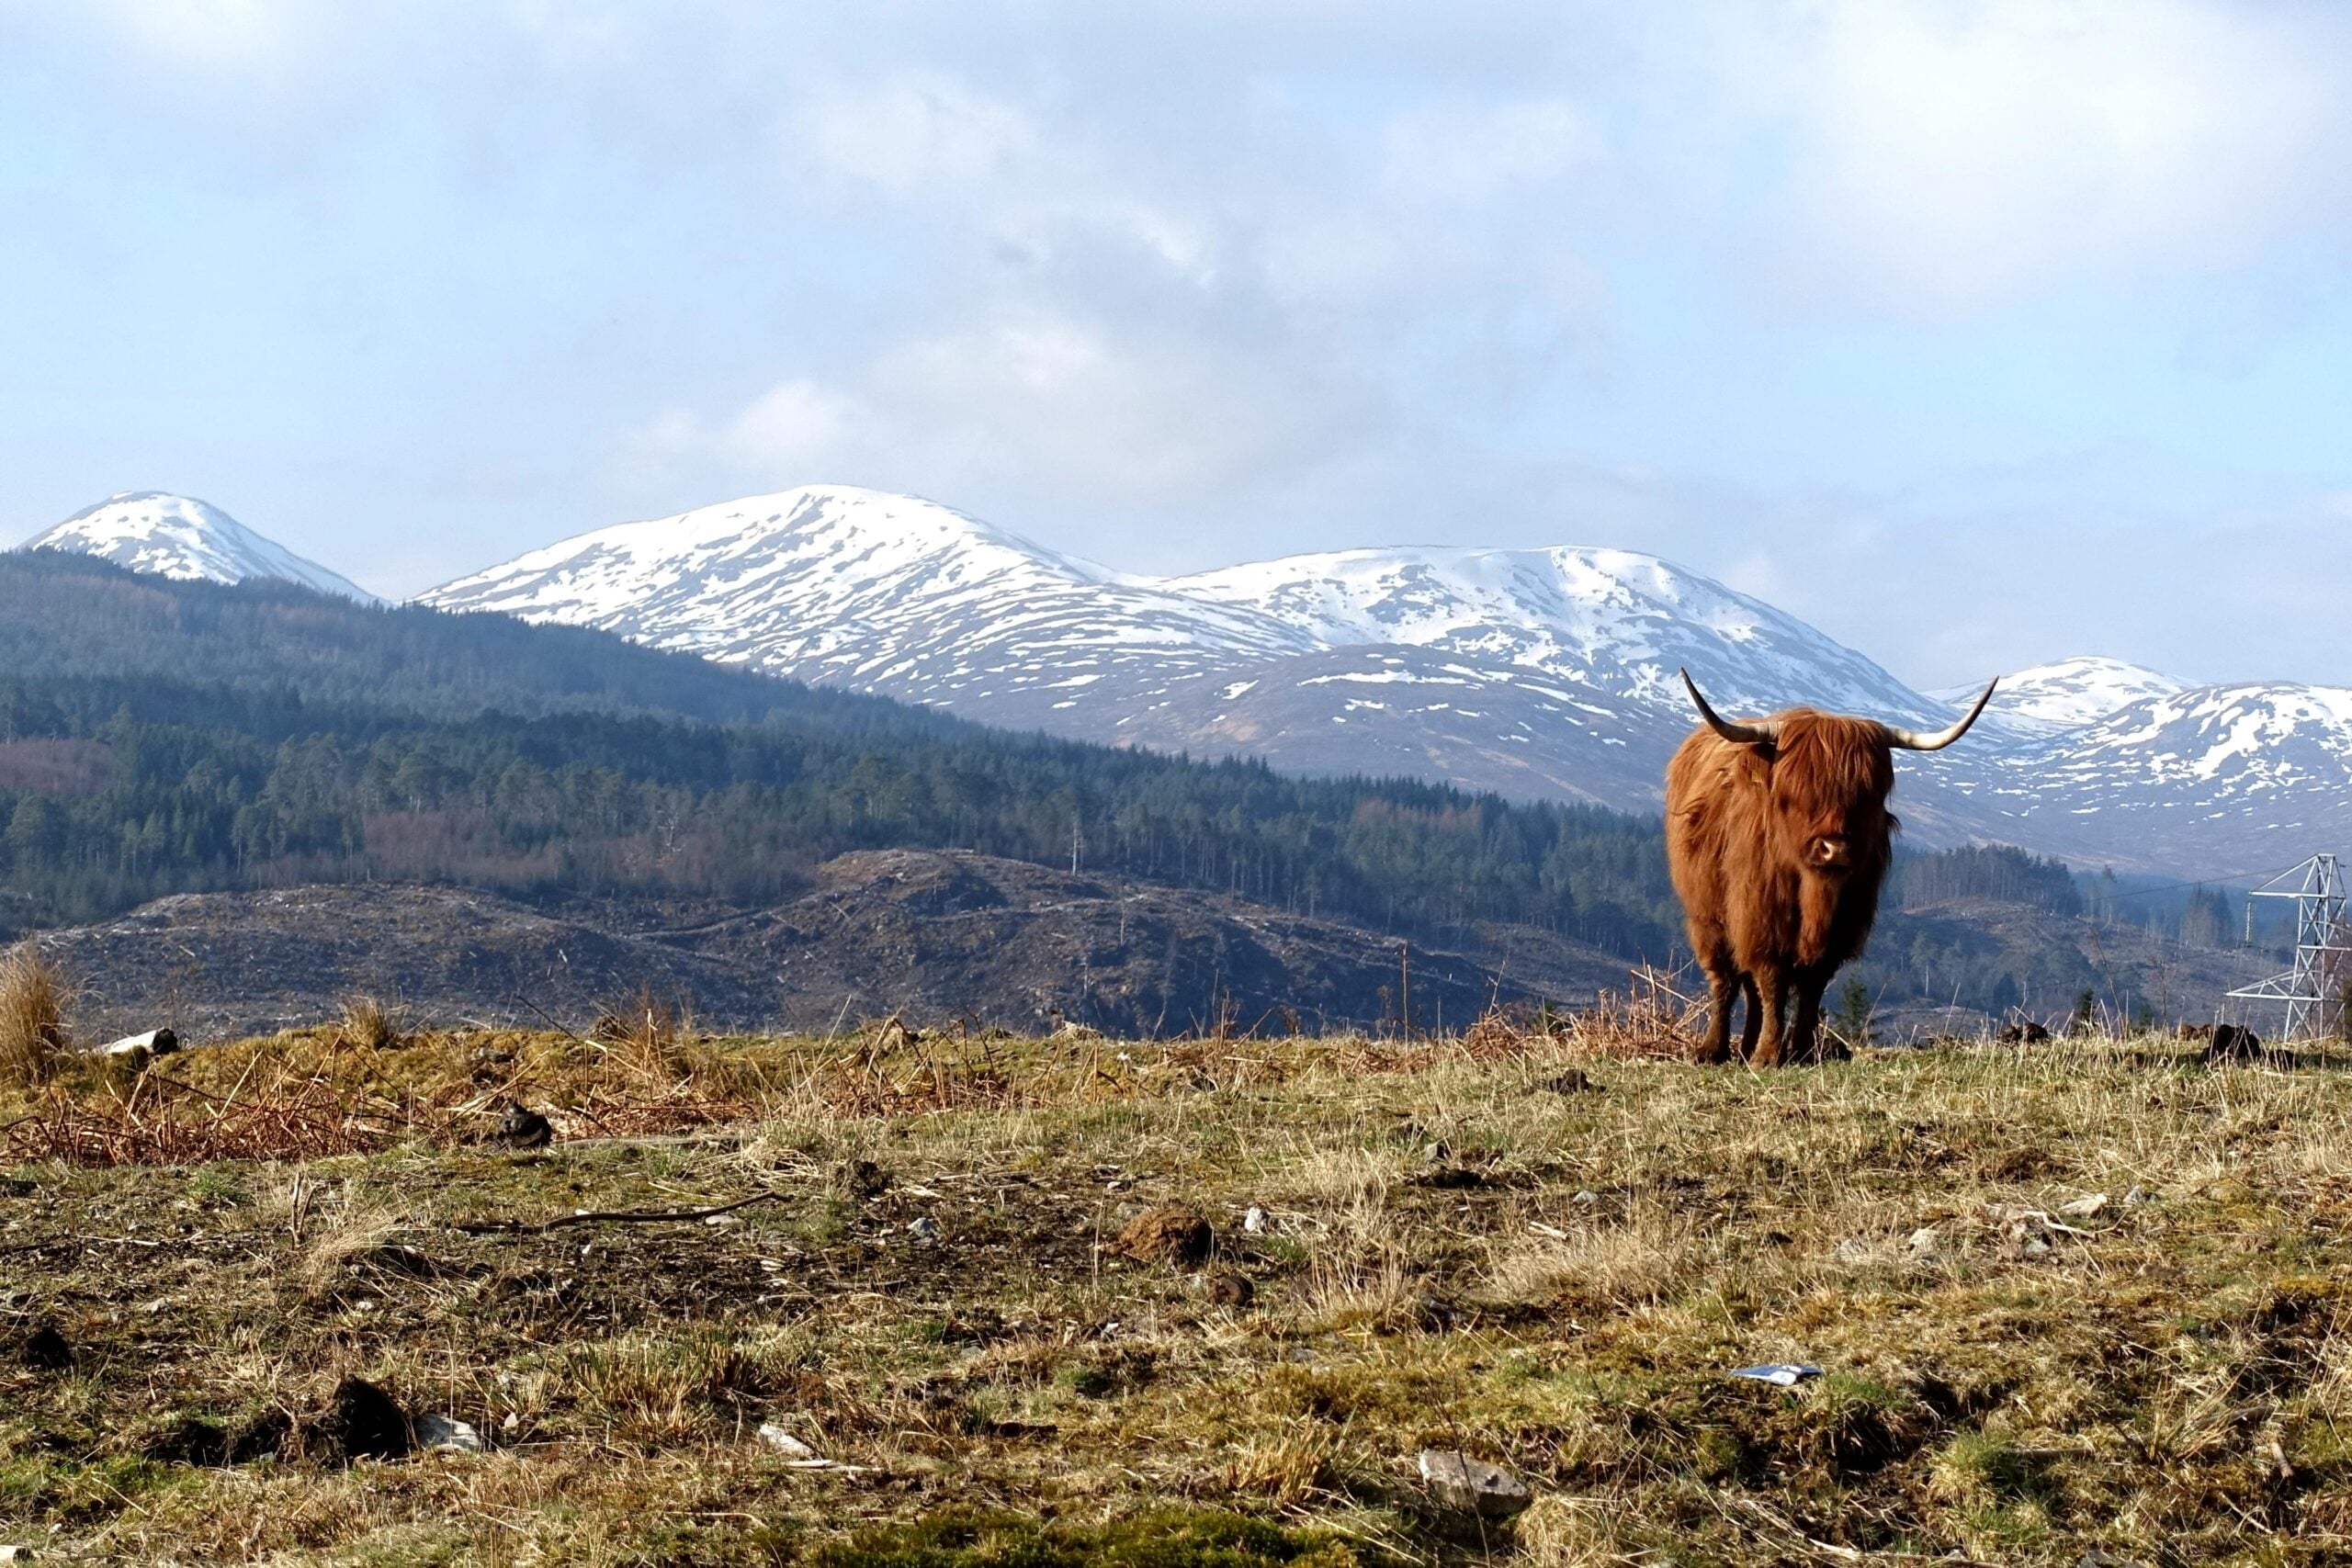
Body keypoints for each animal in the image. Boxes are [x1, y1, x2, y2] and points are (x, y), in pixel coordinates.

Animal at [1665, 670, 1997, 1066]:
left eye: (1865, 795)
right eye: (1794, 792)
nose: (1834, 849)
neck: (1815, 893)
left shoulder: (1842, 925)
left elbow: (1812, 986)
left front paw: (1803, 1051)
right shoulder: (1762, 916)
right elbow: (1772, 981)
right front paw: (1769, 1054)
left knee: (1746, 986)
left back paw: (1745, 1048)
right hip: (1709, 917)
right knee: (1726, 980)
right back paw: (1714, 1050)